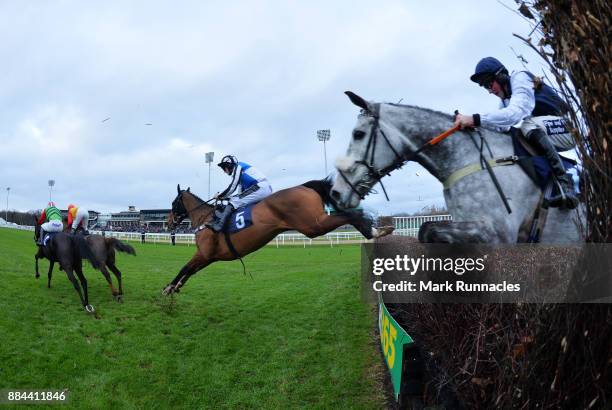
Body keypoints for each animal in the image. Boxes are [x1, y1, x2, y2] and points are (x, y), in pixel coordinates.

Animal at [160, 179, 394, 294]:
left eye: (173, 202)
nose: (169, 222)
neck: (206, 218)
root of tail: (304, 186)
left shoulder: (204, 253)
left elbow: (184, 267)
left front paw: (168, 287)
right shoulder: (210, 257)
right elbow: (190, 271)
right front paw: (176, 287)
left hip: (313, 225)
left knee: (349, 215)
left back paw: (374, 230)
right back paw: (379, 229)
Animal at [330, 92, 584, 243]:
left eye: (358, 134)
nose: (336, 192)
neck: (468, 158)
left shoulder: (498, 233)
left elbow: (426, 230)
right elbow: (429, 230)